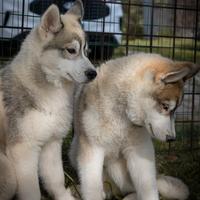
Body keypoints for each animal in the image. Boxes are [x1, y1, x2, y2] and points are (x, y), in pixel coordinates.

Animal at [0, 0, 97, 199]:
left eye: (86, 51)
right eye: (71, 50)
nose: (93, 73)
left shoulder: (51, 144)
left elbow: (56, 180)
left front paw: (65, 197)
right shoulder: (23, 150)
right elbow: (32, 192)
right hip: (8, 174)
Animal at [69, 53, 200, 200]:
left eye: (174, 110)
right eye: (165, 107)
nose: (172, 138)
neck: (120, 113)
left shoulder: (140, 150)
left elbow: (148, 189)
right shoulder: (92, 148)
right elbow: (92, 188)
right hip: (75, 151)